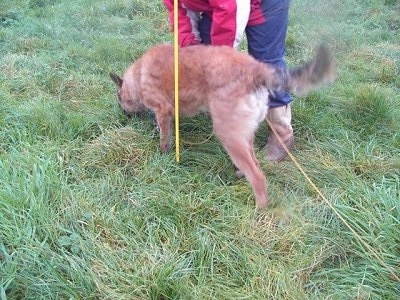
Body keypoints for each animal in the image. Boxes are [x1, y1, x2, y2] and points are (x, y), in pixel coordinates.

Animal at [109, 44, 334, 209]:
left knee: (258, 177)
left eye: (119, 99)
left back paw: (259, 210)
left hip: (229, 135)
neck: (138, 76)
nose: (124, 115)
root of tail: (255, 69)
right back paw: (241, 175)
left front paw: (162, 154)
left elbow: (165, 139)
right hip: (242, 134)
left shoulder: (163, 111)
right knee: (254, 162)